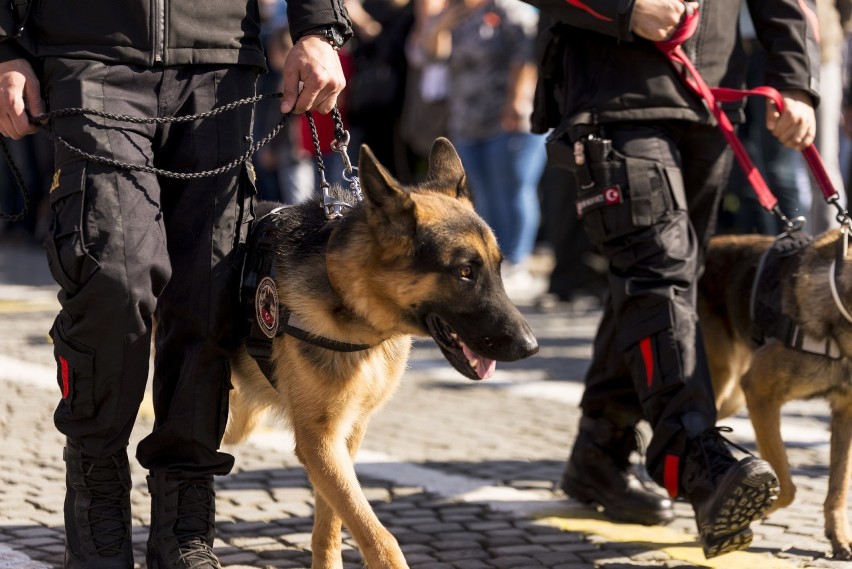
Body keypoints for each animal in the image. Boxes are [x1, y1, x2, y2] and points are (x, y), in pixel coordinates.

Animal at [221, 139, 540, 568]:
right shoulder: (319, 442)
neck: (348, 299)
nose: (530, 346)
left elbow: (332, 521)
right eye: (464, 273)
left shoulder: (344, 436)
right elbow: (378, 535)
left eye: (497, 268)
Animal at [700, 229, 852, 556]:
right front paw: (745, 513)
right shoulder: (760, 393)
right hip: (721, 385)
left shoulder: (845, 413)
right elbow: (786, 484)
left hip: (732, 398)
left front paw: (839, 537)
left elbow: (838, 486)